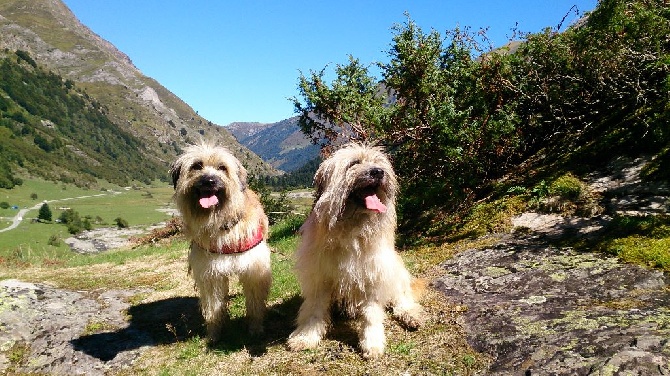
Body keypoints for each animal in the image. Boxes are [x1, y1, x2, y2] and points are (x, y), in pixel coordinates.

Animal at [171, 142, 272, 342]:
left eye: (222, 167)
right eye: (196, 166)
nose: (209, 181)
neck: (222, 224)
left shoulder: (253, 269)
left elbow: (255, 303)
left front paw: (255, 328)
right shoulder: (211, 273)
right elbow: (214, 307)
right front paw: (214, 333)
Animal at [288, 144, 426, 358]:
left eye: (378, 163)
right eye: (354, 163)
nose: (378, 172)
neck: (352, 229)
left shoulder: (373, 276)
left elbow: (371, 315)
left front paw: (372, 342)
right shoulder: (320, 278)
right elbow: (313, 311)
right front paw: (306, 336)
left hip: (395, 272)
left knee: (401, 297)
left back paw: (410, 314)